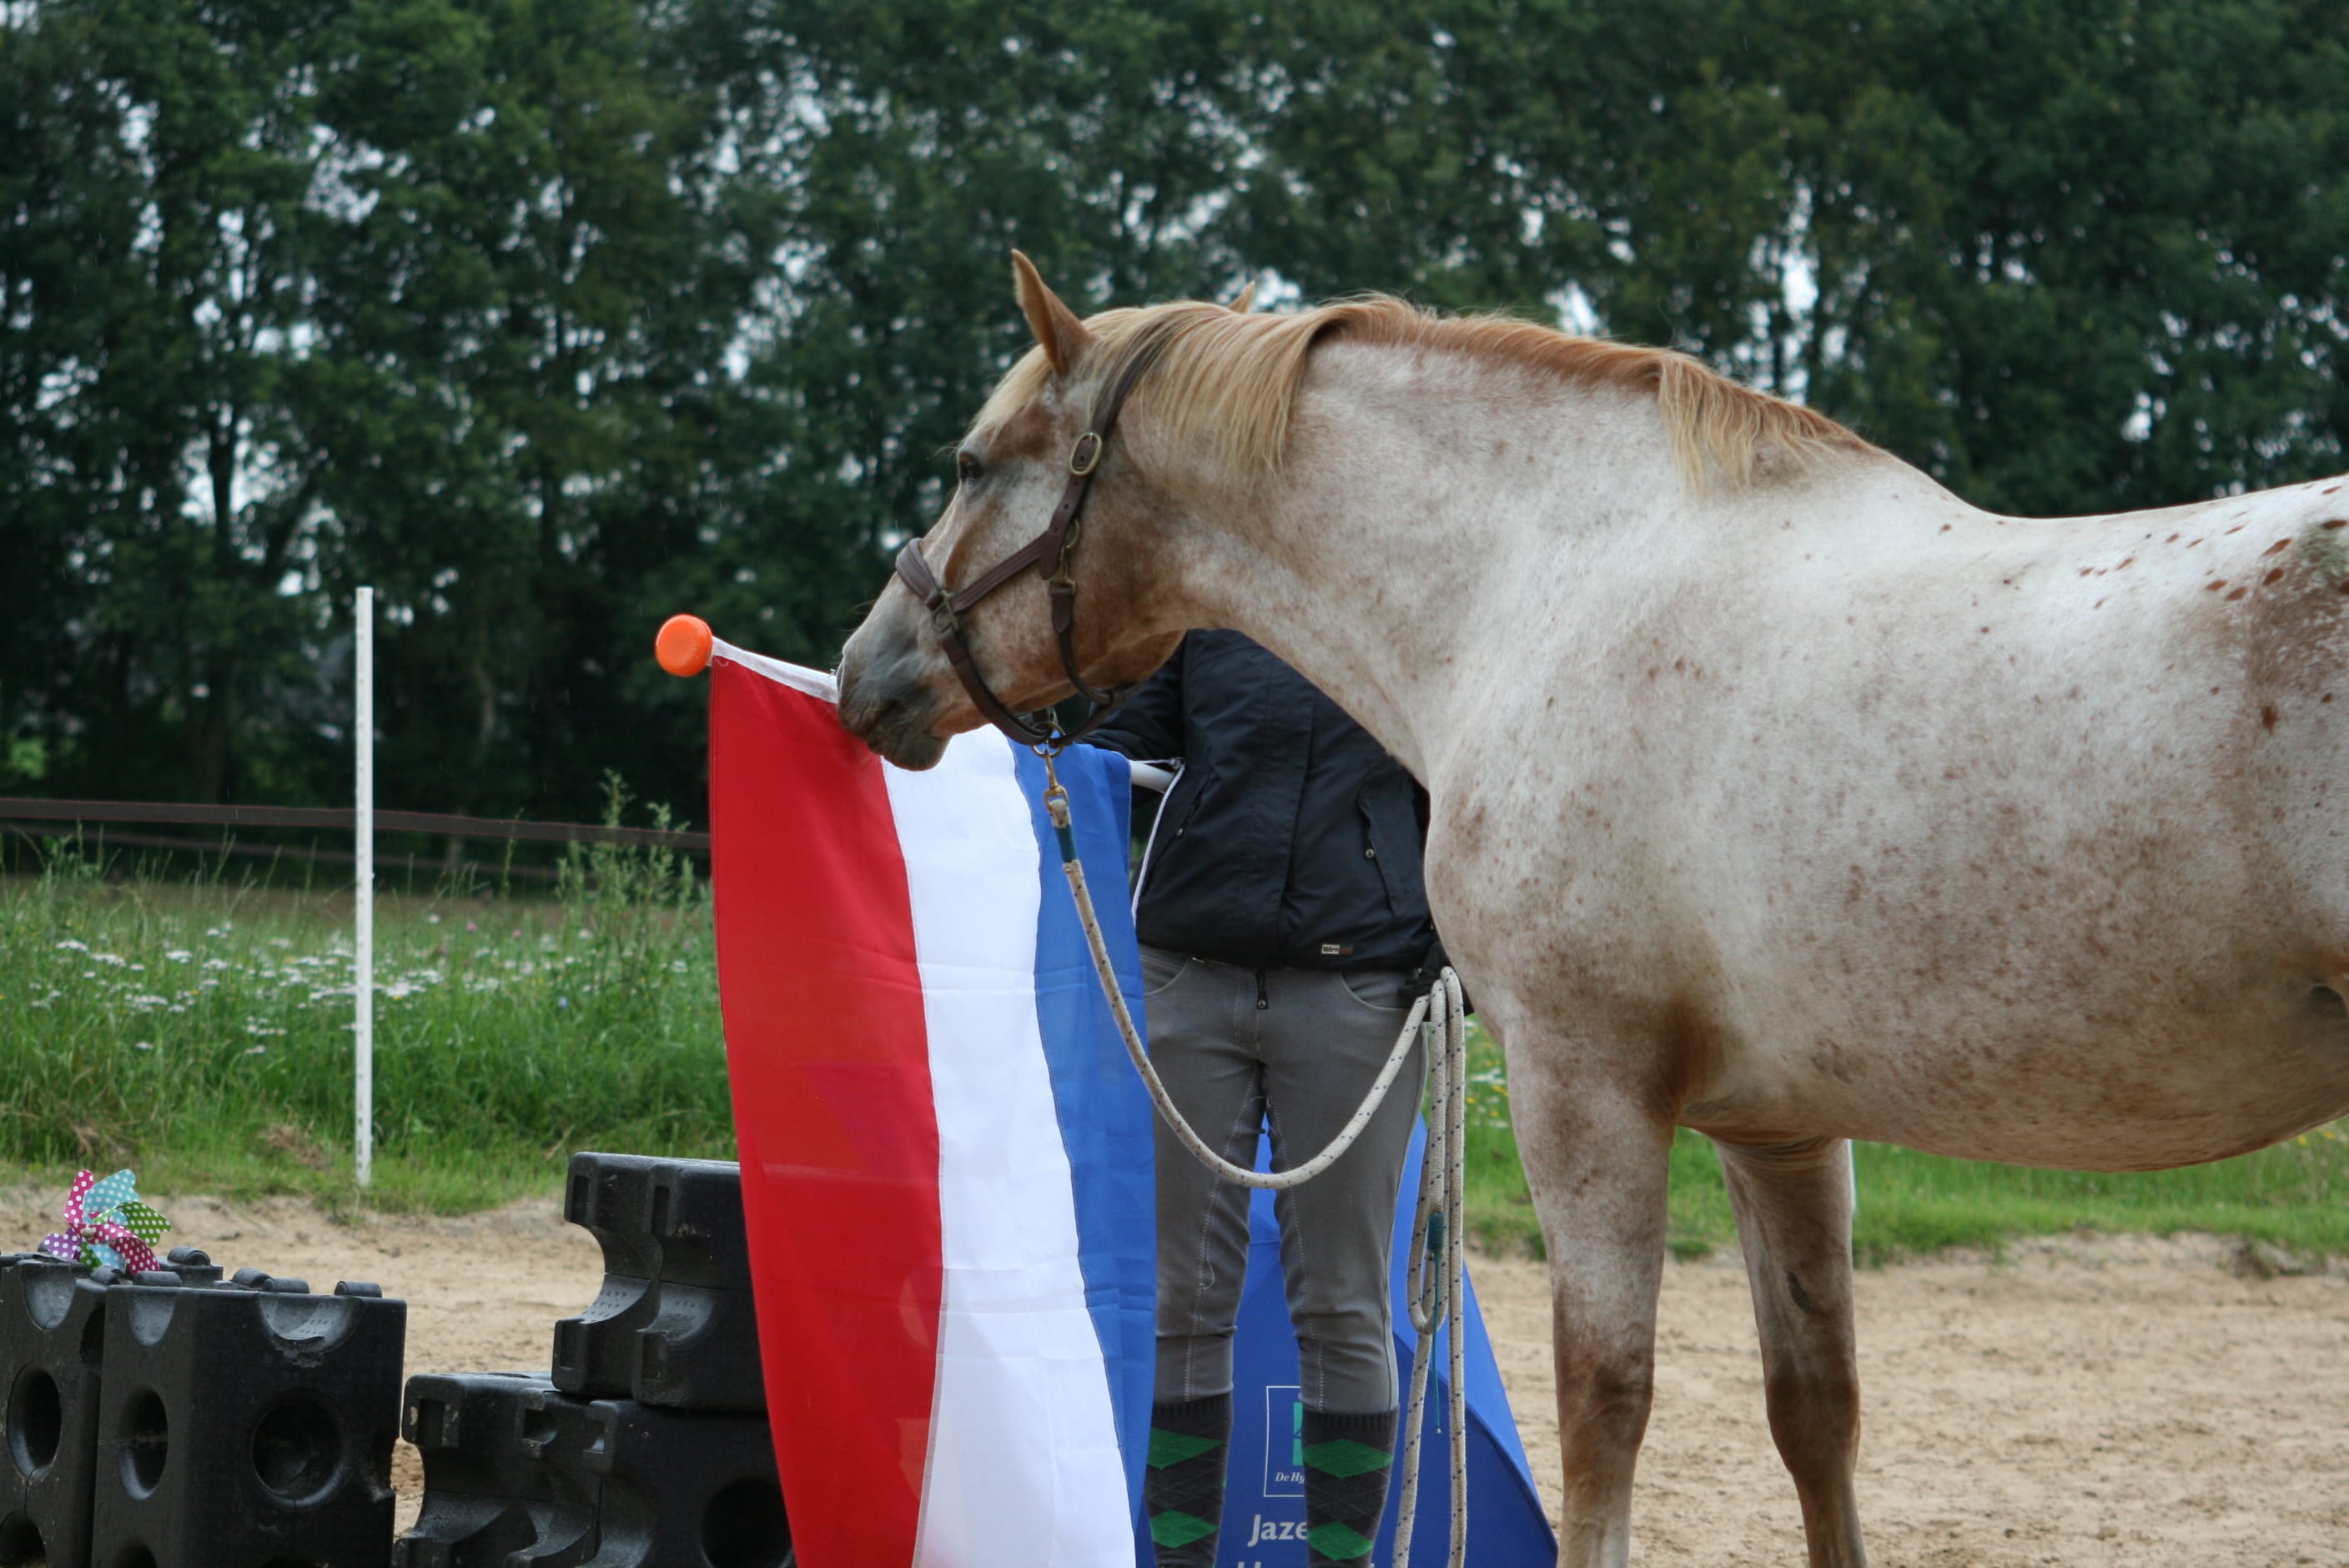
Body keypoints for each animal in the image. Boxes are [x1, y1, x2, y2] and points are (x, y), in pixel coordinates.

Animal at [831, 251, 2349, 1558]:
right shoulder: (1782, 1130)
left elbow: (1603, 1404)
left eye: (972, 464)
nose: (867, 672)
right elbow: (1818, 1415)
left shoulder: (1586, 1089)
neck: (1542, 591)